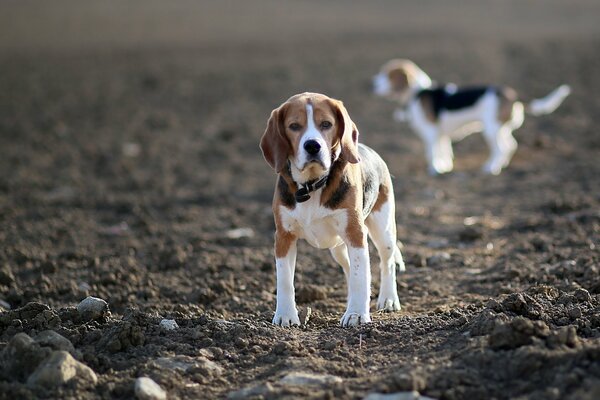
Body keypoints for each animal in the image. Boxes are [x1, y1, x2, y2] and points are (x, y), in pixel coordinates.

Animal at [260, 93, 406, 328]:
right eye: (294, 126)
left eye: (326, 124)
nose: (312, 146)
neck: (311, 184)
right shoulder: (283, 236)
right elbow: (284, 280)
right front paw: (285, 315)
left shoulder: (355, 234)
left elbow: (360, 276)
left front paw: (356, 314)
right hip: (338, 247)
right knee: (349, 268)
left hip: (383, 230)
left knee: (387, 263)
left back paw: (388, 299)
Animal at [370, 58, 572, 174]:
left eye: (388, 75)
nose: (371, 84)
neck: (418, 92)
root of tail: (511, 95)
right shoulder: (441, 135)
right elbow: (444, 152)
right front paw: (445, 167)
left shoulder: (431, 134)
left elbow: (432, 153)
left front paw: (434, 169)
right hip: (500, 129)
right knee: (511, 145)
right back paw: (502, 165)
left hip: (491, 130)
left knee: (501, 148)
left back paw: (491, 168)